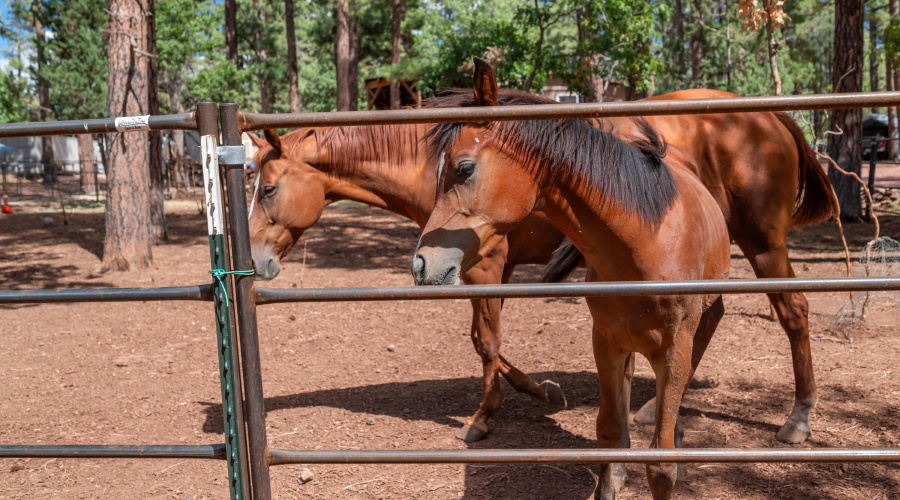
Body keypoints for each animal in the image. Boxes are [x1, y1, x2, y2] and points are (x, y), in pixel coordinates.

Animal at [248, 78, 836, 446]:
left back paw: (799, 418)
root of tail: (772, 116)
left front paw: (484, 418)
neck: (425, 164)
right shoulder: (480, 268)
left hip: (763, 243)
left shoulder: (485, 264)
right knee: (711, 316)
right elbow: (484, 339)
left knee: (794, 312)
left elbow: (486, 341)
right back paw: (653, 409)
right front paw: (538, 389)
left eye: (268, 187)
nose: (254, 260)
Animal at [412, 58, 732, 499]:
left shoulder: (674, 352)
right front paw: (610, 480)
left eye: (464, 168)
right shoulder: (606, 342)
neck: (648, 245)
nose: (421, 264)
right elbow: (608, 431)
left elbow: (661, 463)